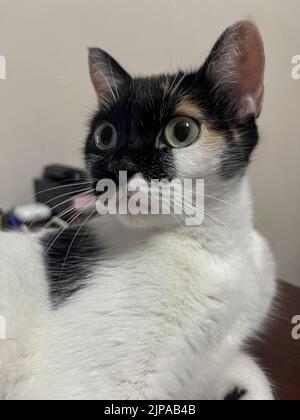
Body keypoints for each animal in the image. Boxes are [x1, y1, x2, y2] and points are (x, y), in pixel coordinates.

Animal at [0, 20, 276, 400]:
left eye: (181, 131)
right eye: (105, 136)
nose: (119, 168)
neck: (214, 246)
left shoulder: (215, 360)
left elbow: (250, 373)